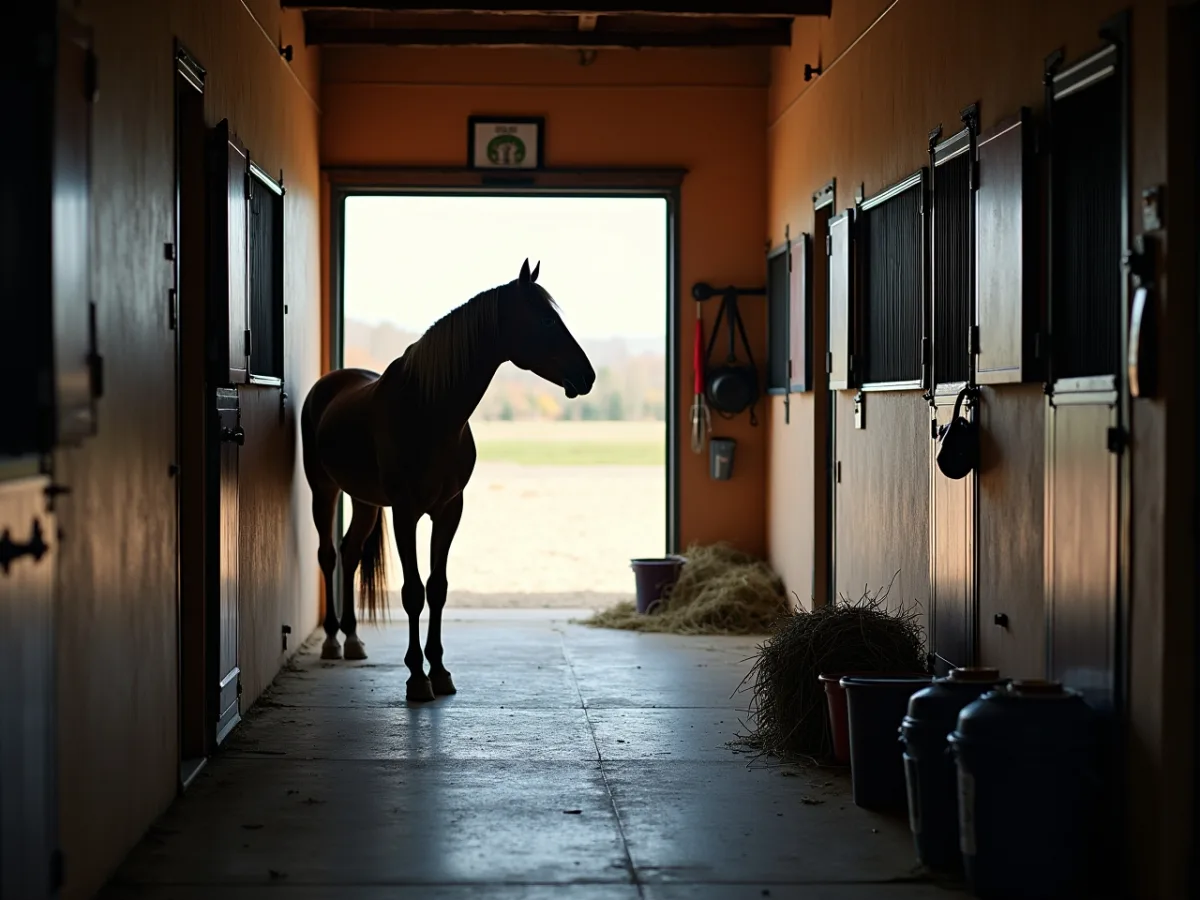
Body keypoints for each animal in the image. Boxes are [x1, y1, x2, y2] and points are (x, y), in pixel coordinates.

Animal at [300, 259, 595, 702]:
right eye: (546, 320)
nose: (588, 375)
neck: (430, 412)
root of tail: (329, 384)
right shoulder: (405, 512)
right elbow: (412, 592)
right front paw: (415, 677)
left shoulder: (448, 510)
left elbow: (436, 588)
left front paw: (438, 671)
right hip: (325, 490)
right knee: (329, 555)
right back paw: (333, 640)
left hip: (365, 500)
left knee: (351, 553)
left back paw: (353, 639)